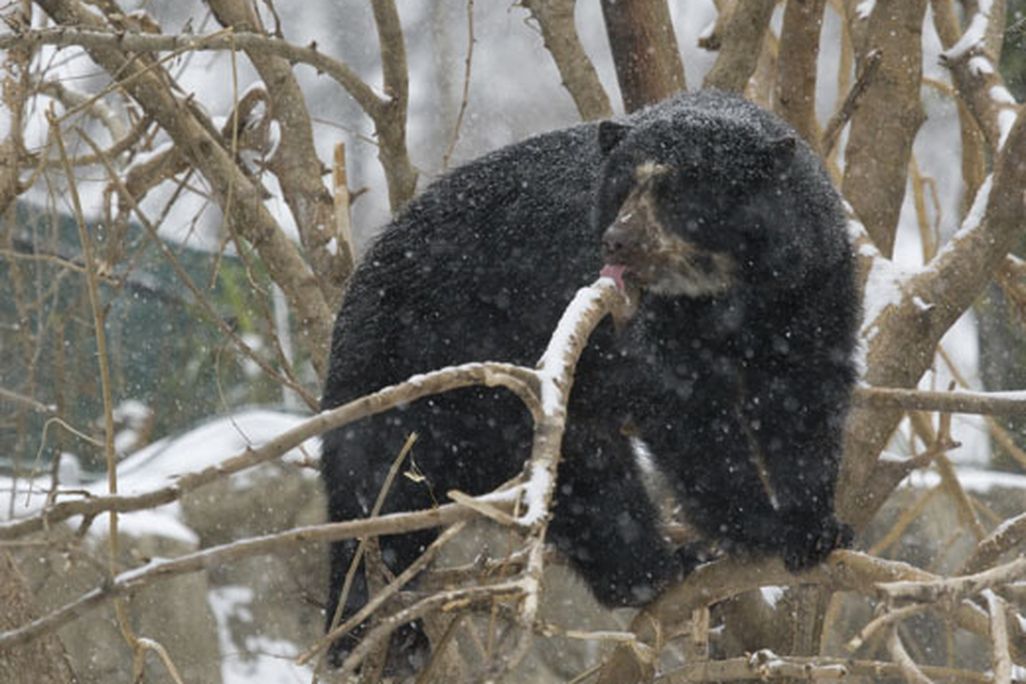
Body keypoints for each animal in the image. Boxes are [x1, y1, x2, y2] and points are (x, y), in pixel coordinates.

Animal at [319, 89, 859, 668]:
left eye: (681, 194)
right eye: (623, 187)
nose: (618, 241)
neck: (722, 297)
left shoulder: (811, 288)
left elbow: (803, 398)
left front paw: (817, 527)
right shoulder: (636, 323)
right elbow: (685, 416)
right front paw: (758, 527)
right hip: (442, 376)